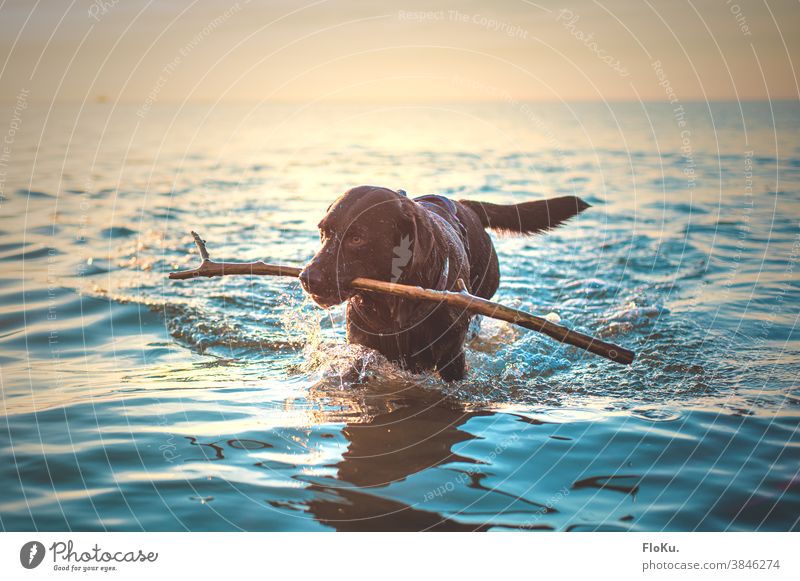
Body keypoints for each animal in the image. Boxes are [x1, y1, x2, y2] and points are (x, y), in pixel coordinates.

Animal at [300, 184, 588, 378]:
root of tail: (464, 205)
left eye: (357, 238)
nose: (307, 278)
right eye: (323, 232)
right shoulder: (364, 347)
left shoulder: (451, 356)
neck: (394, 303)